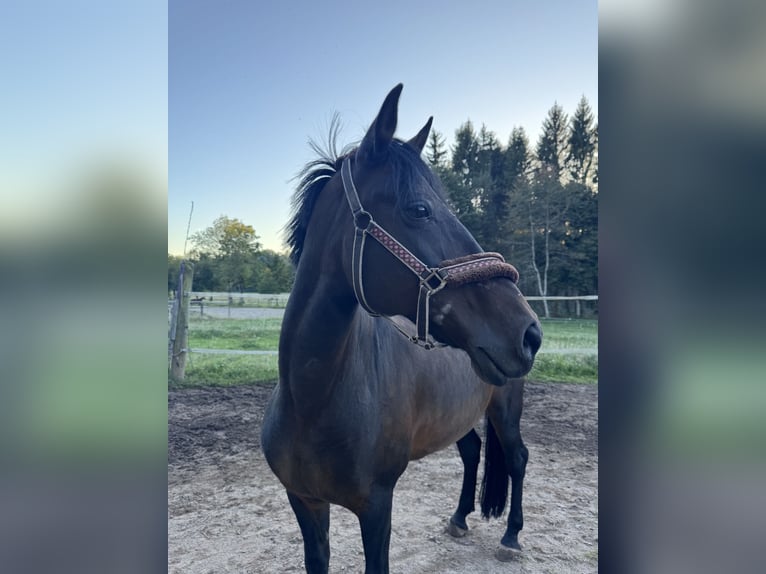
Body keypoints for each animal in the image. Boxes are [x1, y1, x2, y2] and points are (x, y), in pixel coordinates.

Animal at [262, 84, 542, 573]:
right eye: (419, 209)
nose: (529, 332)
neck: (312, 401)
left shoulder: (377, 507)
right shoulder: (305, 502)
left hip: (507, 408)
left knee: (518, 458)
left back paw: (510, 537)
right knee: (472, 451)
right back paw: (459, 519)